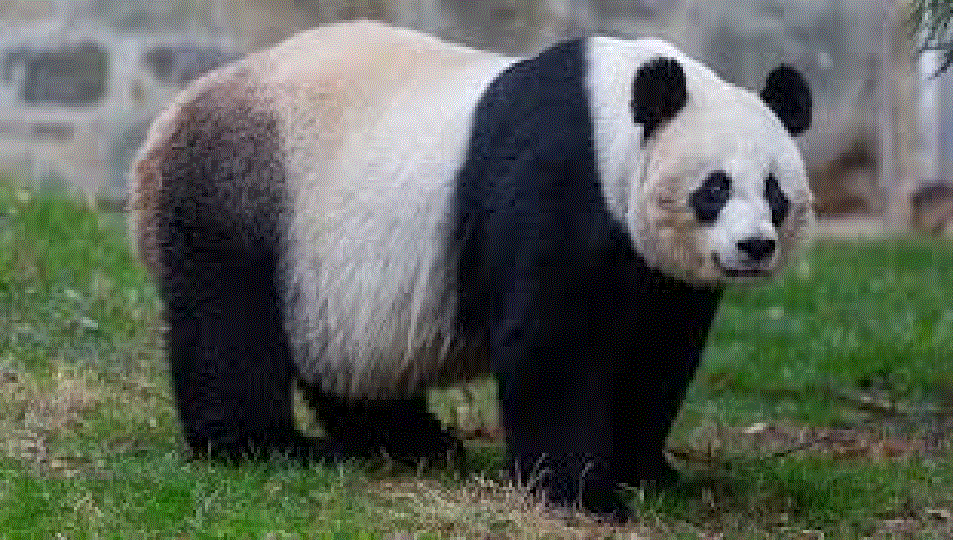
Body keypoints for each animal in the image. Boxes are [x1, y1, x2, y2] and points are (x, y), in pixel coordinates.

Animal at [130, 20, 812, 521]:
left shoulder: (658, 273)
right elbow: (552, 345)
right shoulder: (558, 181)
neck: (615, 122)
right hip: (240, 190)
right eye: (715, 188)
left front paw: (649, 472)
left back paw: (412, 442)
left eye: (775, 192)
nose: (755, 246)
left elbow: (656, 353)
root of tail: (161, 131)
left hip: (327, 265)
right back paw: (268, 447)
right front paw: (584, 493)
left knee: (345, 358)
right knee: (227, 324)